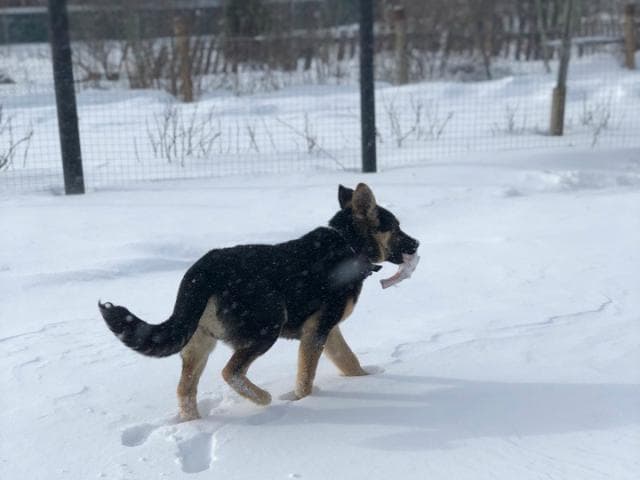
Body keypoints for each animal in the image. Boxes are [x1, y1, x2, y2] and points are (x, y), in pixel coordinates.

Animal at [99, 184, 420, 420]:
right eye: (396, 227)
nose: (417, 243)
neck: (349, 244)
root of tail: (203, 270)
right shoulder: (318, 330)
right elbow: (306, 377)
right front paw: (302, 401)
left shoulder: (325, 331)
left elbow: (349, 360)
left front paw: (365, 378)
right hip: (268, 326)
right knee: (231, 372)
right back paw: (263, 398)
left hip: (198, 342)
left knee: (185, 390)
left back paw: (195, 423)